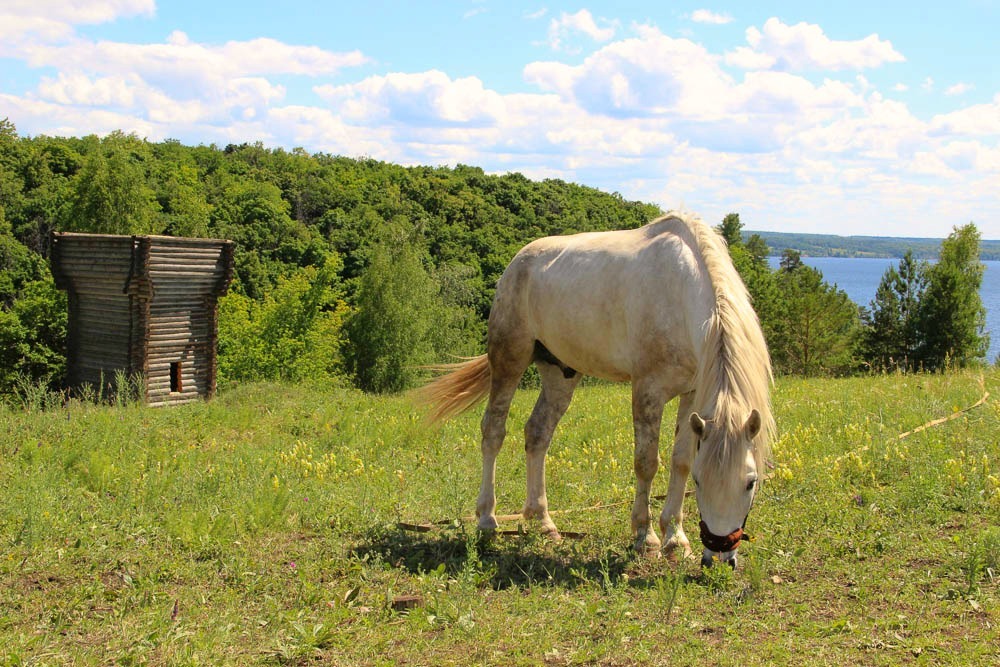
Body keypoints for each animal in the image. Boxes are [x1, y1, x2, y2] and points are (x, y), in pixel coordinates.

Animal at [418, 211, 776, 568]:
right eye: (701, 483)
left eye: (751, 482)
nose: (718, 557)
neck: (681, 294)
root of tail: (518, 261)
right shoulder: (648, 389)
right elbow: (646, 462)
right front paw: (645, 538)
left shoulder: (691, 394)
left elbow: (681, 461)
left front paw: (675, 539)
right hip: (509, 359)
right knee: (493, 431)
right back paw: (487, 521)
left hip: (559, 373)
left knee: (537, 434)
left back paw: (543, 521)